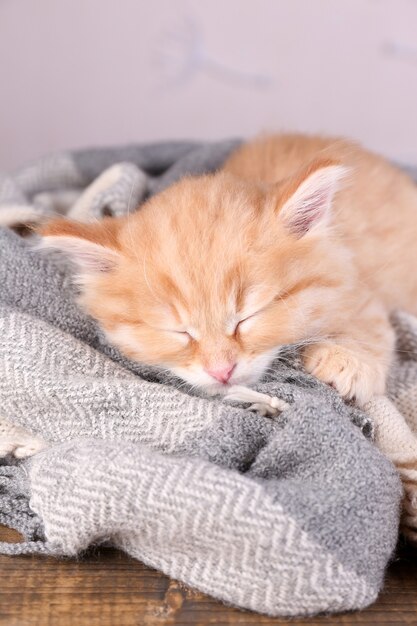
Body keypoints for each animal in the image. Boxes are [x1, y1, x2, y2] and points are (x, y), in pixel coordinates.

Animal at [39, 135, 417, 408]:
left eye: (248, 317)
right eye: (178, 332)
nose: (221, 371)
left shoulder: (361, 281)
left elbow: (367, 320)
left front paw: (347, 359)